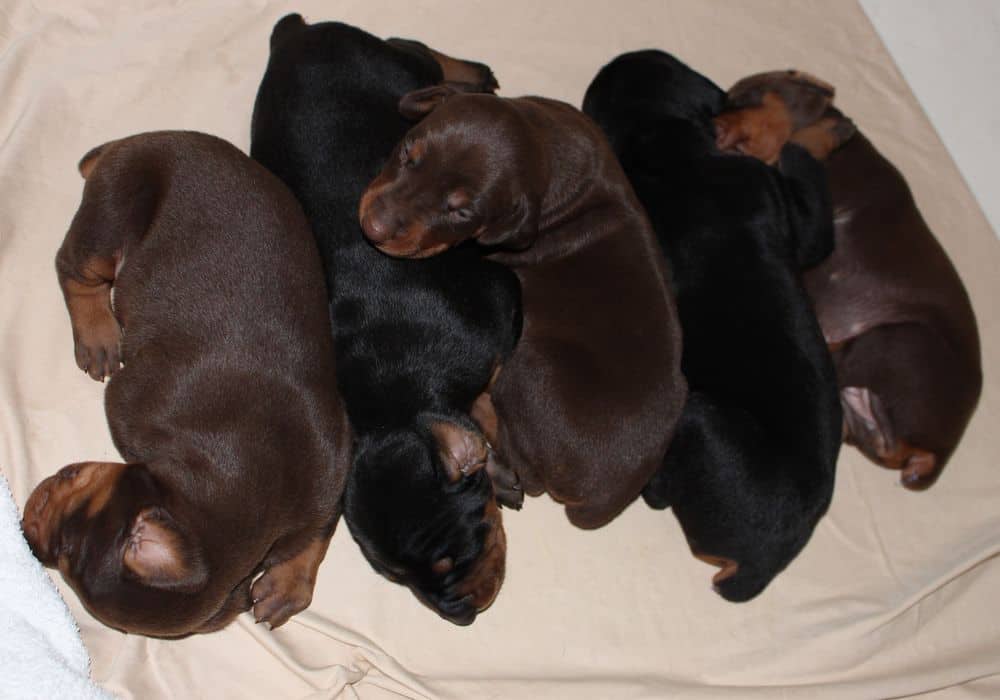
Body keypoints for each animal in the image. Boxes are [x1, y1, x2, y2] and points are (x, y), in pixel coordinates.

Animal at [17, 130, 354, 636]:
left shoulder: (335, 458)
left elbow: (319, 529)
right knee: (74, 268)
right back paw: (97, 333)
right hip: (113, 211)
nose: (26, 535)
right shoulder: (127, 402)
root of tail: (140, 139)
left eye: (67, 551)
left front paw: (288, 583)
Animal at [248, 16, 524, 624]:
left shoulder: (502, 316)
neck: (397, 396)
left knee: (415, 50)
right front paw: (291, 575)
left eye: (459, 556)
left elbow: (488, 399)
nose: (458, 616)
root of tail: (299, 30)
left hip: (392, 65)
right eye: (398, 579)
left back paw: (470, 75)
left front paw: (496, 455)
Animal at [360, 85, 688, 528]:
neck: (547, 148)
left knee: (522, 463)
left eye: (461, 211)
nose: (373, 226)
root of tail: (602, 499)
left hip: (532, 363)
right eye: (410, 152)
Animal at [584, 52, 844, 600]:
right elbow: (813, 222)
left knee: (660, 494)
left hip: (697, 413)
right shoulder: (789, 212)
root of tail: (759, 567)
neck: (674, 145)